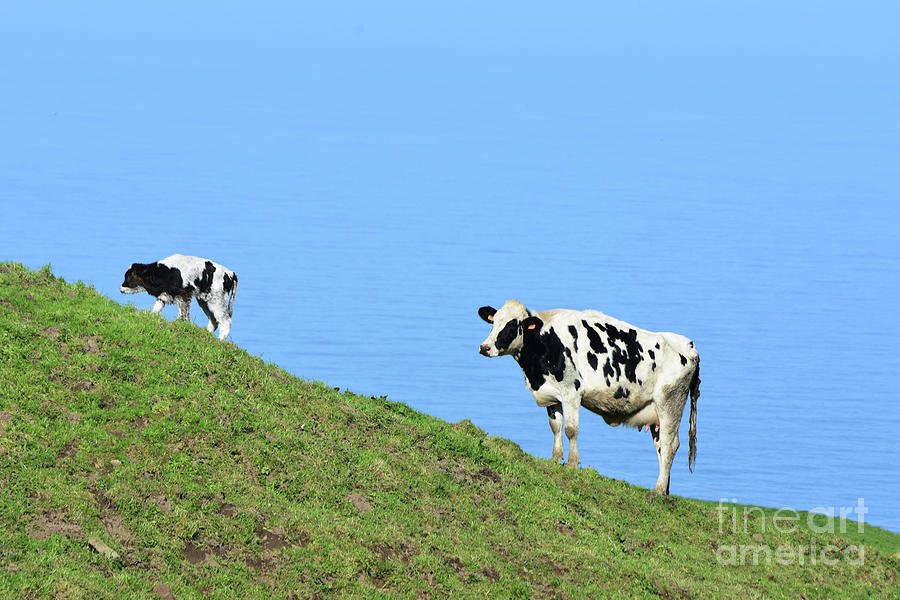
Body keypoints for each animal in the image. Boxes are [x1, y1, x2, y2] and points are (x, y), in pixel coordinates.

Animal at [474, 302, 700, 494]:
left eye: (513, 325)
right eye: (494, 321)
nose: (485, 347)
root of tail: (689, 346)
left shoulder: (571, 393)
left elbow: (570, 430)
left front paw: (572, 463)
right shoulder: (553, 396)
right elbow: (555, 426)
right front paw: (555, 459)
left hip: (670, 402)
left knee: (670, 444)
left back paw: (659, 489)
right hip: (656, 413)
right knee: (661, 445)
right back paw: (665, 488)